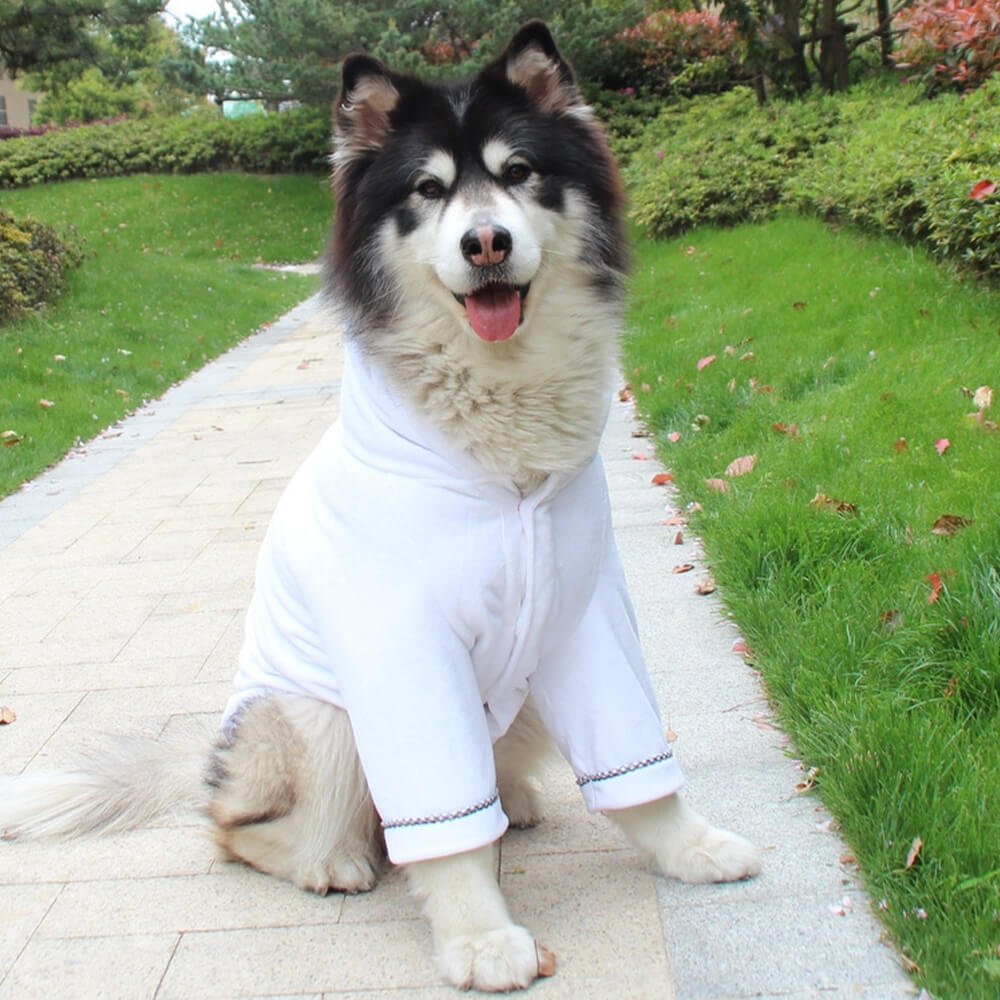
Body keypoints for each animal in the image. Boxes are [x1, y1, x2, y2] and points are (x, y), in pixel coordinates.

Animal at [0, 23, 756, 992]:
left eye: (519, 172)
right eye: (428, 190)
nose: (485, 243)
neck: (504, 461)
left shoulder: (588, 618)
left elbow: (638, 768)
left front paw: (687, 848)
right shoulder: (400, 648)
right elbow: (442, 832)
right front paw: (480, 936)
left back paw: (514, 799)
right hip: (314, 721)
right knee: (241, 829)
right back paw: (333, 858)